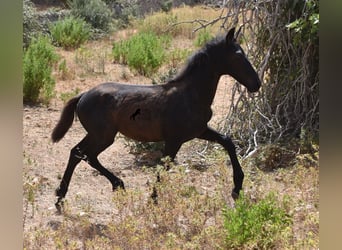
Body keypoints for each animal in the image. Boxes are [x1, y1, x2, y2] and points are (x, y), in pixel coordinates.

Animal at [51, 27, 260, 211]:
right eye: (238, 55)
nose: (256, 84)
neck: (191, 95)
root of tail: (82, 95)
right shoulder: (174, 140)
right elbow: (163, 167)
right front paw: (153, 199)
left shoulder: (200, 130)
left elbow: (227, 142)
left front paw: (237, 187)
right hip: (103, 136)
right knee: (84, 154)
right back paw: (108, 186)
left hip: (98, 135)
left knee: (79, 153)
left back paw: (66, 195)